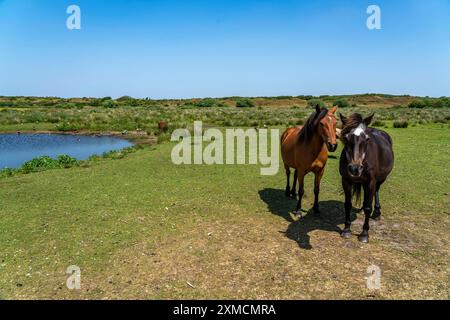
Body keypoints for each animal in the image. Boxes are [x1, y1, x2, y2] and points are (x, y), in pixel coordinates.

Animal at [340, 113, 396, 242]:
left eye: (366, 139)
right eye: (346, 138)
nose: (354, 168)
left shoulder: (371, 182)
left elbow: (368, 208)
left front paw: (364, 233)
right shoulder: (346, 181)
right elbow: (347, 205)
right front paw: (346, 229)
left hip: (380, 179)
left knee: (376, 192)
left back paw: (377, 213)